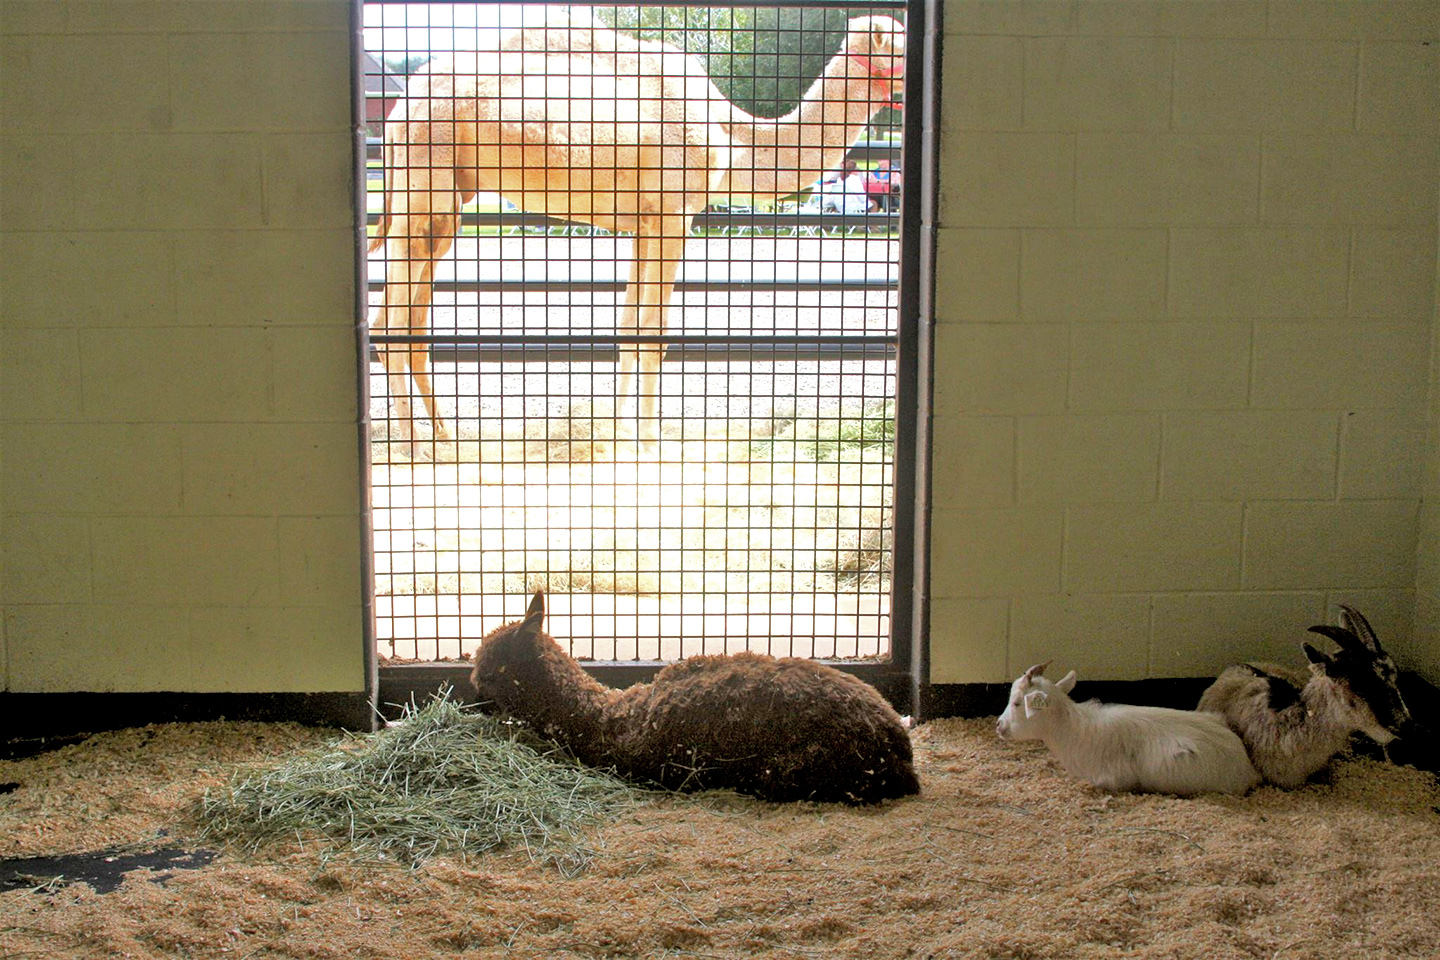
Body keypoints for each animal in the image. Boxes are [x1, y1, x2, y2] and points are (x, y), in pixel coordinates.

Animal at [368, 9, 898, 454]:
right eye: (899, 41)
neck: (731, 134)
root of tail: (397, 112)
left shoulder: (645, 221)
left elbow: (627, 327)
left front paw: (619, 435)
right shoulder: (675, 214)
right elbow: (654, 332)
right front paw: (648, 441)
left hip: (450, 202)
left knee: (414, 322)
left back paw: (444, 437)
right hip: (425, 180)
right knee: (388, 323)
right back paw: (414, 447)